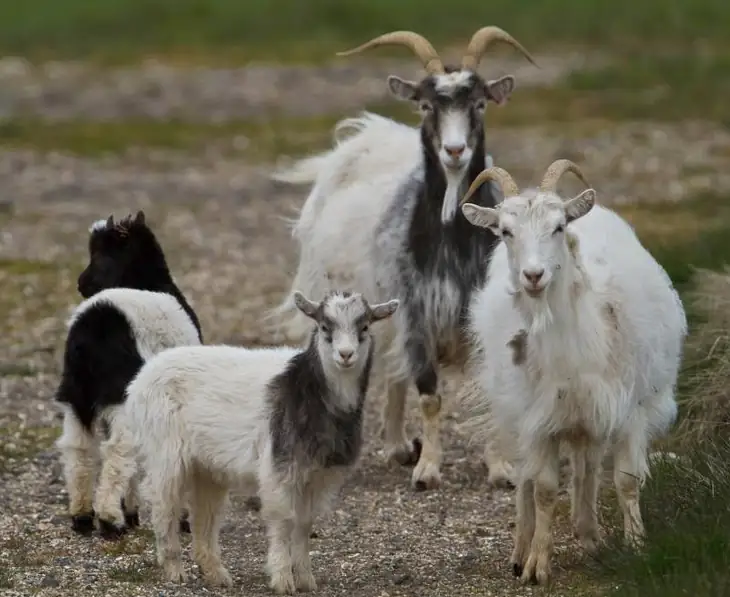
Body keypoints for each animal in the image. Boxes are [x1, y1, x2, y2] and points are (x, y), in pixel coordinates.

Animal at [53, 212, 202, 536]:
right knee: (118, 450)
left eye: (101, 253)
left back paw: (82, 515)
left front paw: (132, 510)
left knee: (79, 447)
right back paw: (109, 519)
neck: (152, 282)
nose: (81, 284)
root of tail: (92, 326)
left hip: (76, 393)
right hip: (118, 393)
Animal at [125, 290, 398, 592]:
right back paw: (174, 569)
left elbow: (304, 523)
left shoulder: (317, 476)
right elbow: (283, 520)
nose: (346, 354)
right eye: (325, 326)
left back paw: (216, 573)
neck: (306, 388)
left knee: (205, 512)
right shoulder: (280, 469)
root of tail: (142, 378)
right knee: (164, 503)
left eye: (365, 326)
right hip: (165, 450)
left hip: (206, 467)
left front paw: (306, 579)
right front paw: (283, 579)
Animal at [460, 158, 684, 584]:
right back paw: (522, 549)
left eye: (559, 226)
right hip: (520, 408)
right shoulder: (541, 418)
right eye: (506, 231)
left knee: (588, 466)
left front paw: (636, 546)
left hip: (589, 415)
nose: (533, 276)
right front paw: (537, 564)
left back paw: (590, 534)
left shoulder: (629, 408)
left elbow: (626, 480)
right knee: (527, 478)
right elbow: (545, 489)